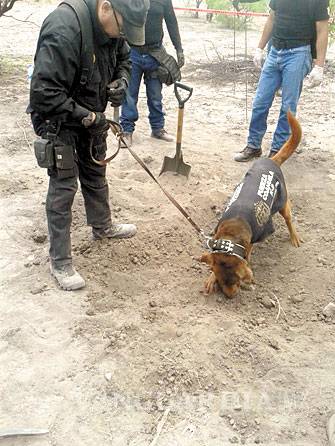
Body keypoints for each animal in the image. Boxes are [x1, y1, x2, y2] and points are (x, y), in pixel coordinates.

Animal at [201, 111, 304, 298]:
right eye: (221, 281)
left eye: (237, 281)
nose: (229, 297)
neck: (233, 230)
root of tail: (272, 161)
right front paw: (211, 278)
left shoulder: (256, 238)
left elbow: (248, 253)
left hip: (282, 203)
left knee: (289, 219)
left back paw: (294, 236)